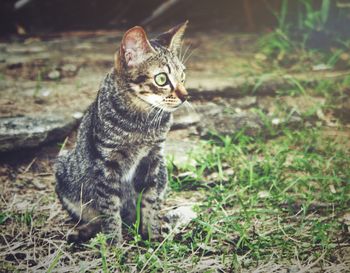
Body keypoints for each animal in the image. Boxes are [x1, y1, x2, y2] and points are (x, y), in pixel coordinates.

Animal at [54, 20, 189, 243]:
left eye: (183, 76)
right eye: (161, 79)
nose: (186, 96)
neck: (142, 123)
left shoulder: (152, 159)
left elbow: (150, 200)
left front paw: (152, 233)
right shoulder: (106, 165)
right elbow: (109, 210)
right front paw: (114, 245)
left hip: (163, 172)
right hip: (63, 169)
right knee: (96, 217)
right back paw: (83, 231)